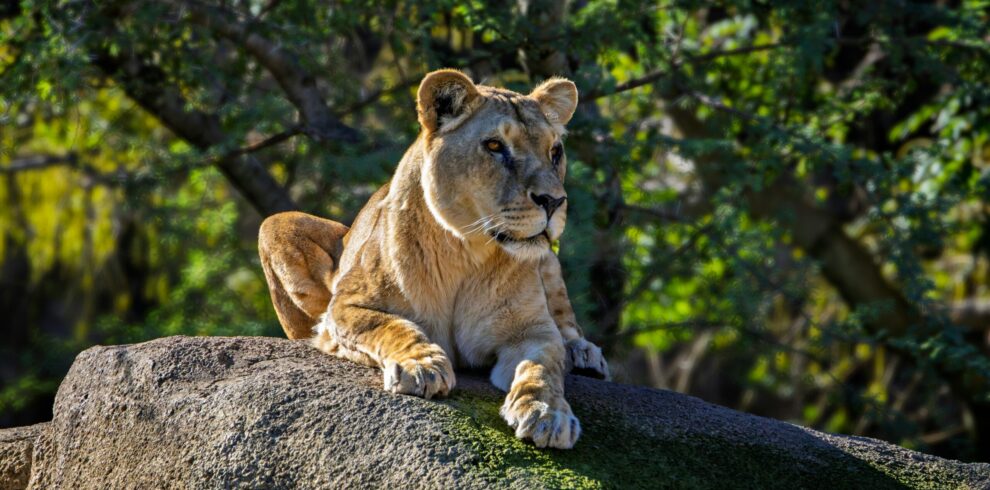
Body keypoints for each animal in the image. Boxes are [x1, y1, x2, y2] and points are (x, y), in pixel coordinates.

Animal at [258, 69, 608, 449]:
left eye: (555, 151)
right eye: (495, 146)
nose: (554, 201)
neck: (466, 254)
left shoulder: (532, 330)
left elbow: (543, 366)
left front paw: (548, 413)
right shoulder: (346, 305)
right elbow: (390, 326)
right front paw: (420, 366)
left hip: (549, 262)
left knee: (566, 323)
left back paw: (583, 354)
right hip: (274, 224)